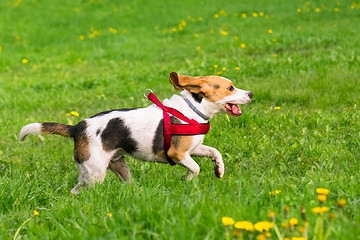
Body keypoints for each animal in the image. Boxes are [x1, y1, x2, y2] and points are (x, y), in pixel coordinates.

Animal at [18, 72, 252, 194]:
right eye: (230, 88)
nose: (250, 93)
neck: (193, 109)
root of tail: (78, 127)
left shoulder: (192, 149)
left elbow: (215, 151)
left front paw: (219, 170)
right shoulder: (178, 154)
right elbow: (195, 168)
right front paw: (186, 180)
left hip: (118, 164)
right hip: (94, 173)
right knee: (78, 191)